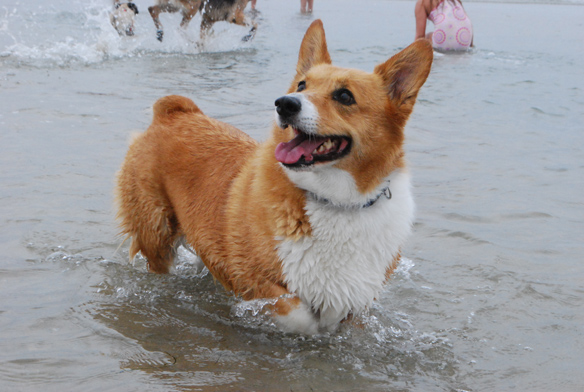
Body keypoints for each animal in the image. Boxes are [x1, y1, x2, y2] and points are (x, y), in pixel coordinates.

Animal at [115, 20, 434, 334]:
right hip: (156, 233)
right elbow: (297, 312)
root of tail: (174, 112)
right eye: (302, 85)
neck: (336, 201)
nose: (285, 103)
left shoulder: (359, 297)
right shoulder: (253, 278)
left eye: (345, 96)